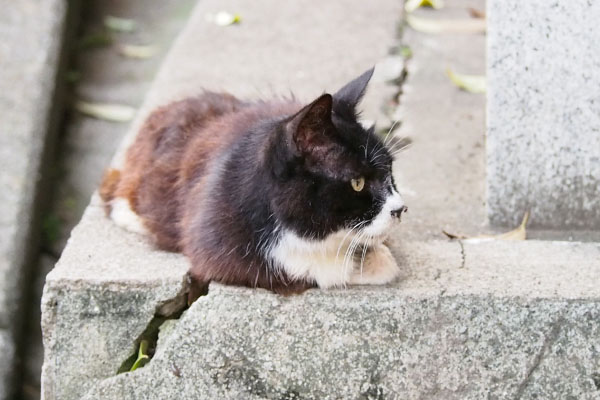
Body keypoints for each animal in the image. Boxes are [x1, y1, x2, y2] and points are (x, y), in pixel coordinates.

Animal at [99, 68, 408, 300]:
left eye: (390, 172)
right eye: (357, 182)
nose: (400, 209)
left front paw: (373, 253)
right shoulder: (217, 246)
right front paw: (370, 262)